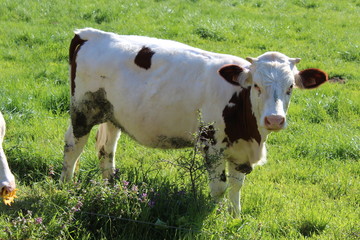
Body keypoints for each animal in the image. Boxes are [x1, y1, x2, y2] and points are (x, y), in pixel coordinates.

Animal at [60, 27, 328, 216]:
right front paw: (216, 217)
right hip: (82, 111)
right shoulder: (213, 146)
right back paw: (66, 187)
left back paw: (109, 188)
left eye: (291, 87)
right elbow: (219, 188)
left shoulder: (241, 151)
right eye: (256, 86)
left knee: (106, 150)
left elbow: (236, 186)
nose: (274, 119)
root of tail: (90, 34)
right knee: (73, 147)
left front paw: (235, 217)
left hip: (113, 116)